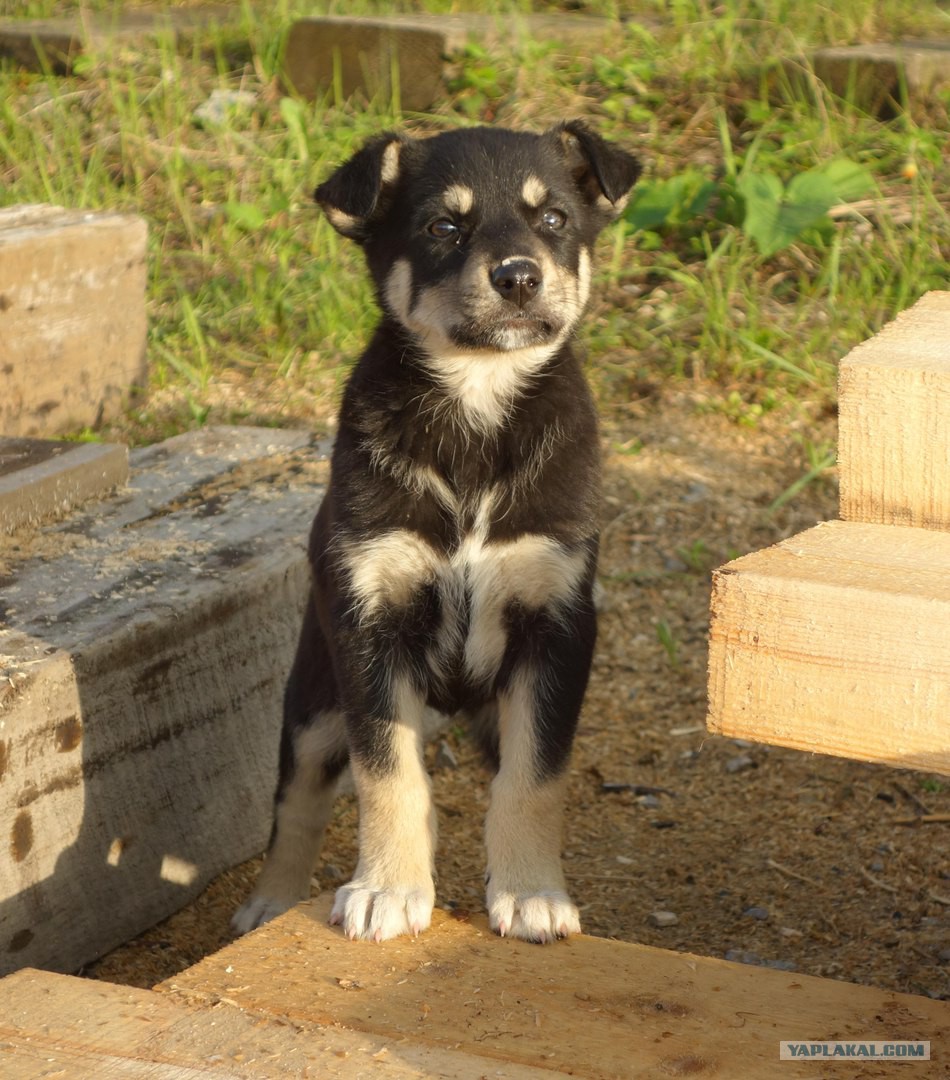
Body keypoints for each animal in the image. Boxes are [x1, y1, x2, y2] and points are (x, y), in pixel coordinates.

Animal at [234, 120, 643, 946]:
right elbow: (387, 772)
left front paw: (531, 893)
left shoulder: (556, 625)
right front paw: (387, 889)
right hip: (315, 696)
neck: (475, 408)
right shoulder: (367, 626)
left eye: (554, 219)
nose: (517, 277)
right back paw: (273, 901)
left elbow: (533, 778)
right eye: (443, 228)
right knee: (300, 797)